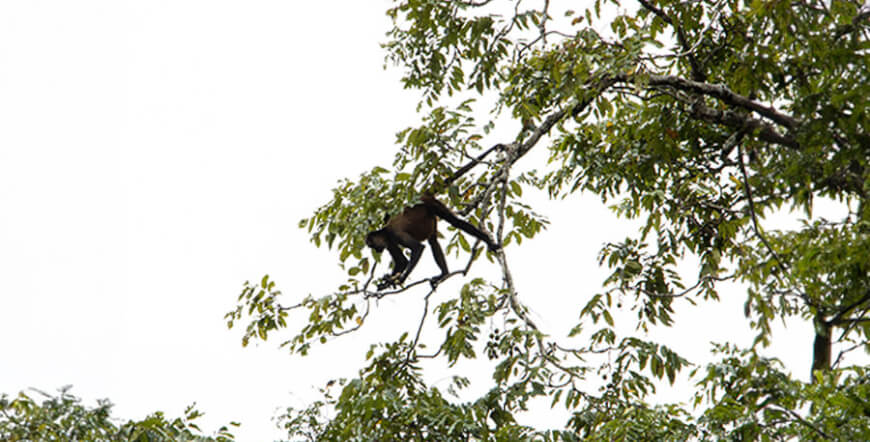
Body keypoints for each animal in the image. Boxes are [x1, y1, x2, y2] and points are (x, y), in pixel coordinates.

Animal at [368, 145, 504, 290]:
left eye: (371, 245)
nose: (375, 250)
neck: (384, 230)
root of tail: (422, 196)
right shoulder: (389, 241)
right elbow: (402, 262)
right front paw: (387, 282)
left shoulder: (394, 233)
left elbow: (418, 249)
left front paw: (401, 279)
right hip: (431, 215)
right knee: (433, 241)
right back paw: (444, 274)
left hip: (433, 205)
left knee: (455, 222)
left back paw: (486, 240)